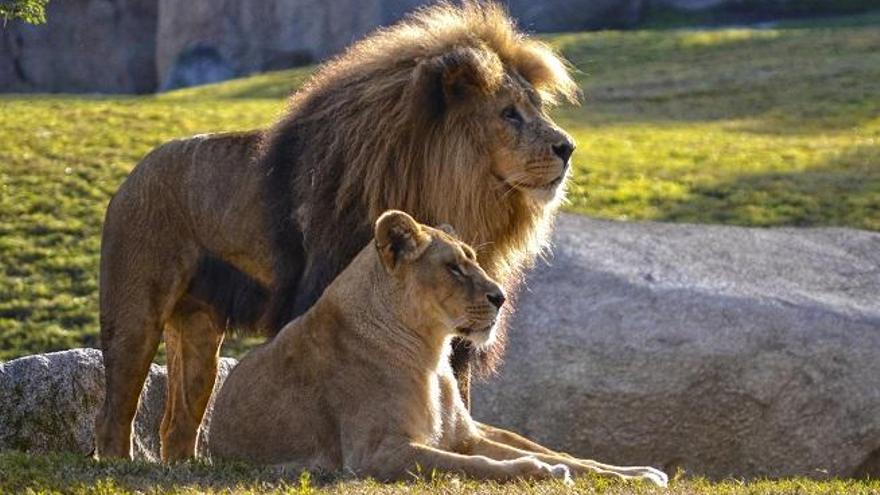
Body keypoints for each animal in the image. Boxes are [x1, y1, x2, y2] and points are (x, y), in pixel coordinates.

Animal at [96, 0, 576, 462]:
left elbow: (459, 401)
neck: (457, 188)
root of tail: (134, 174)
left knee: (178, 423)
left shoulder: (457, 336)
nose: (568, 147)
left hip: (198, 328)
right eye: (509, 113)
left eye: (537, 109)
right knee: (115, 409)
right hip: (135, 316)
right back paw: (119, 462)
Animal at [208, 210, 668, 488]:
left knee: (557, 449)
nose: (501, 297)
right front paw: (537, 472)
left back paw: (643, 473)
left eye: (473, 261)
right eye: (453, 268)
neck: (431, 353)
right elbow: (472, 466)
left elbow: (553, 457)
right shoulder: (375, 454)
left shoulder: (462, 436)